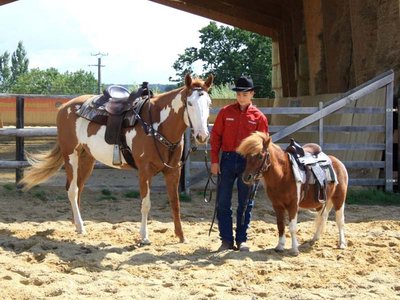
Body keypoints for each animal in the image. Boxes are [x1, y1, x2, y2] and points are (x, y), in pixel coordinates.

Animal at [20, 74, 214, 245]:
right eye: (190, 103)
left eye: (209, 103)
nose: (202, 136)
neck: (156, 126)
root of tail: (64, 108)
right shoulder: (144, 171)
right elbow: (146, 204)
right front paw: (144, 237)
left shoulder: (173, 171)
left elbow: (175, 204)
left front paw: (181, 237)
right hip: (71, 156)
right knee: (72, 190)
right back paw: (81, 227)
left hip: (86, 159)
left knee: (77, 189)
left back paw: (77, 224)